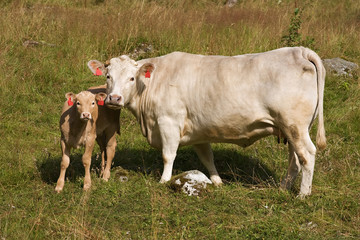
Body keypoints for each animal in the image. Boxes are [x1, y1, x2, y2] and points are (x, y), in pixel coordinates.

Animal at [88, 46, 326, 197]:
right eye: (108, 76)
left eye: (131, 78)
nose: (114, 98)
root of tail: (299, 50)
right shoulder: (198, 132)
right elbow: (207, 158)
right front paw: (217, 181)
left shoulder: (168, 122)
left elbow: (168, 155)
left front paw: (164, 181)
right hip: (291, 129)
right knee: (295, 160)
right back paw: (283, 188)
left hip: (294, 125)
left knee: (307, 155)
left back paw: (303, 194)